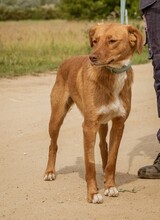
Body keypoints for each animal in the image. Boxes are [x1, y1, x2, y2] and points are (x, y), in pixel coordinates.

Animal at [43, 22, 142, 203]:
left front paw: (110, 186)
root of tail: (66, 60)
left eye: (112, 41)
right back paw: (50, 172)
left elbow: (112, 159)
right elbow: (89, 163)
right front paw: (93, 193)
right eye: (95, 41)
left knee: (103, 145)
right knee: (53, 145)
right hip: (56, 118)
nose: (92, 57)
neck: (111, 74)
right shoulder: (89, 126)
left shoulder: (119, 123)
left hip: (102, 124)